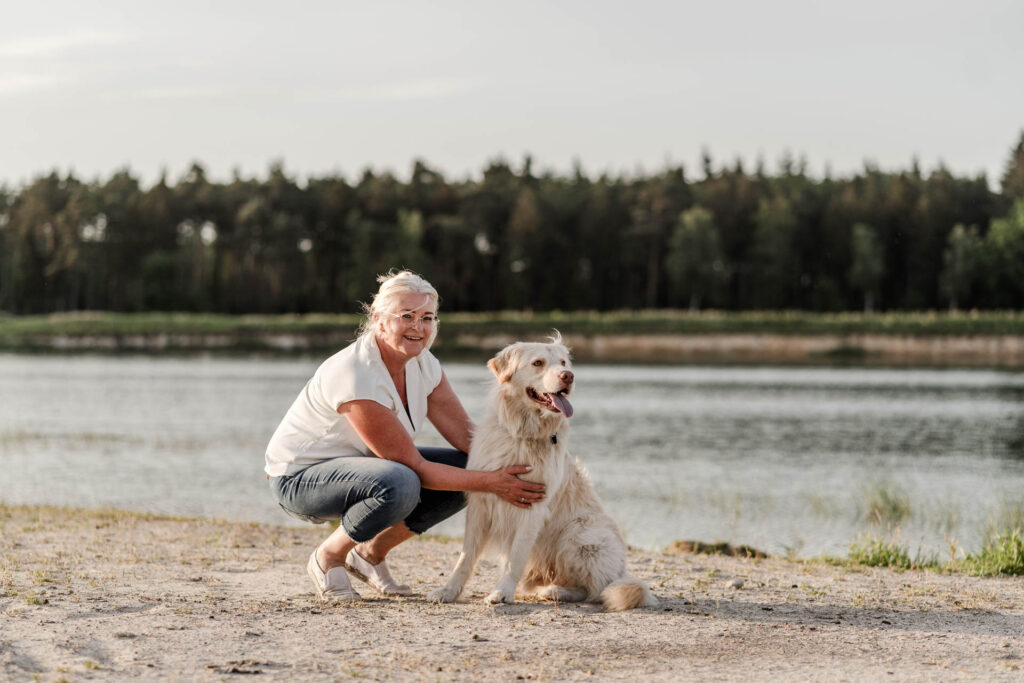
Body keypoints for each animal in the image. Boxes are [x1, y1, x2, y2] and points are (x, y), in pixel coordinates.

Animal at [425, 335, 655, 610]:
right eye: (538, 363)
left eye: (564, 363)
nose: (569, 376)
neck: (524, 433)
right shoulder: (480, 504)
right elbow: (465, 557)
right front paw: (448, 591)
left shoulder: (532, 507)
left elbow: (515, 557)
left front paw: (502, 592)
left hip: (580, 535)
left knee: (598, 589)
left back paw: (556, 591)